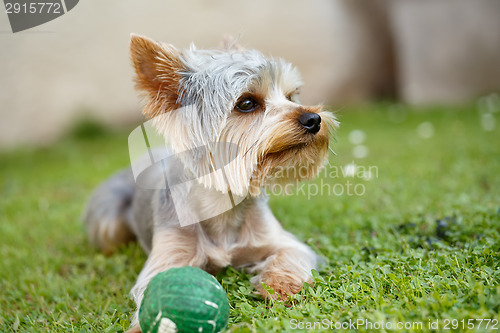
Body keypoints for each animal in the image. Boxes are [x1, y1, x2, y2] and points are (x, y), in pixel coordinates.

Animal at [84, 33, 338, 330]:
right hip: (108, 221)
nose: (314, 119)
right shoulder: (169, 255)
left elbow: (292, 254)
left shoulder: (281, 241)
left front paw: (279, 284)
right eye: (246, 103)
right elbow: (152, 290)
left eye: (290, 96)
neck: (222, 203)